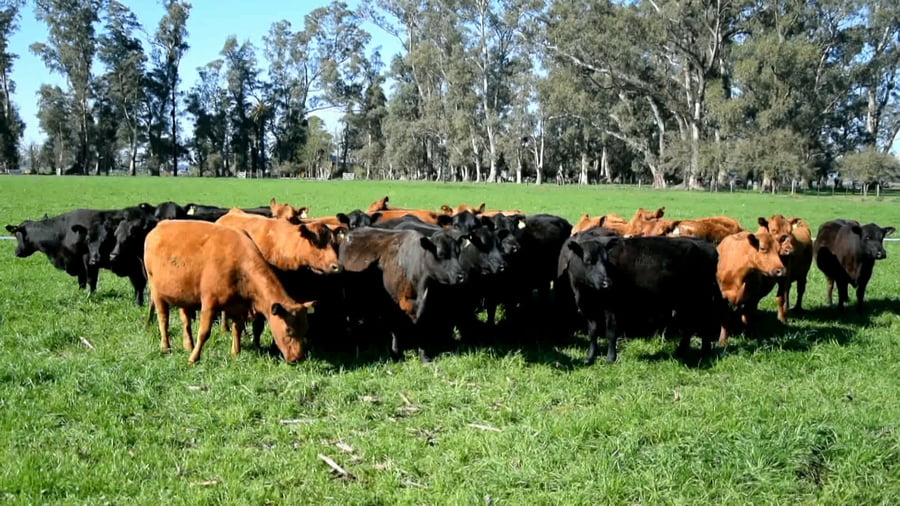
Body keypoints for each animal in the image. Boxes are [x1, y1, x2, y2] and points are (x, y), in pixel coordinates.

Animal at [144, 220, 315, 363]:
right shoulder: (210, 303)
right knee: (163, 319)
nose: (297, 359)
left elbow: (237, 330)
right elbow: (204, 332)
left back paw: (188, 345)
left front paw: (235, 353)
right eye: (288, 330)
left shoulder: (238, 307)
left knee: (185, 320)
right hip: (157, 292)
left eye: (305, 330)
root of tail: (159, 225)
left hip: (184, 294)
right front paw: (194, 358)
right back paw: (166, 347)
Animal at [339, 227, 468, 361]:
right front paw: (396, 353)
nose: (462, 276)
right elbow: (397, 329)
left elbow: (421, 328)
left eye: (458, 253)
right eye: (441, 254)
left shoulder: (423, 306)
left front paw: (425, 356)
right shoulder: (394, 305)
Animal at [558, 230, 726, 364]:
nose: (607, 283)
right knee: (691, 325)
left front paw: (611, 358)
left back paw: (703, 351)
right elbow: (592, 332)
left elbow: (610, 332)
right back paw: (685, 351)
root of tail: (708, 246)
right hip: (686, 301)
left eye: (606, 261)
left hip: (699, 298)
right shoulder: (587, 307)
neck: (586, 291)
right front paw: (590, 357)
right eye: (588, 260)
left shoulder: (612, 306)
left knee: (703, 322)